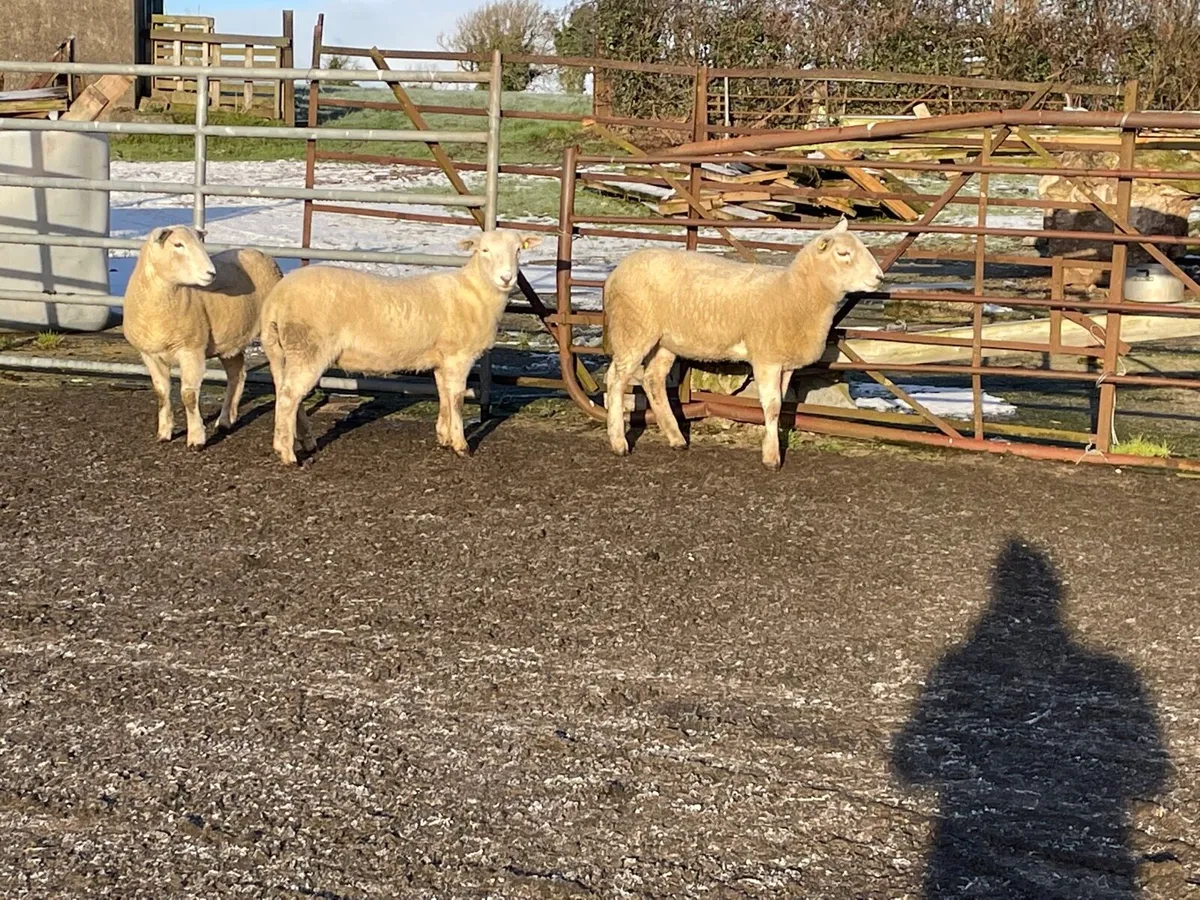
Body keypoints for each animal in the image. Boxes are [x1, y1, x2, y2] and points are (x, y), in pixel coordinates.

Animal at [122, 225, 283, 449]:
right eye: (178, 244)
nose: (211, 273)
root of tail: (262, 253)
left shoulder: (192, 350)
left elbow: (188, 395)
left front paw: (196, 439)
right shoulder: (149, 354)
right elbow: (162, 392)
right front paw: (164, 433)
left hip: (272, 333)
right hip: (230, 339)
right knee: (237, 375)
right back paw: (225, 421)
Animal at [260, 229, 542, 466]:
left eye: (519, 250)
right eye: (484, 250)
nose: (507, 278)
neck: (474, 293)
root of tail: (276, 298)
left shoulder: (442, 359)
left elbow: (443, 395)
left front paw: (443, 437)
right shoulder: (458, 356)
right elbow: (457, 399)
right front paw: (461, 445)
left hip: (282, 350)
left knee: (285, 393)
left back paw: (304, 441)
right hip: (308, 347)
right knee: (289, 397)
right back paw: (287, 454)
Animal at [602, 217, 883, 469]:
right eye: (843, 253)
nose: (879, 277)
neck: (795, 293)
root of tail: (615, 274)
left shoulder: (785, 362)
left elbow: (781, 404)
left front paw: (771, 446)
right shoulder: (766, 359)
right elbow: (772, 406)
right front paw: (772, 458)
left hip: (665, 340)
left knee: (653, 379)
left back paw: (676, 439)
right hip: (633, 329)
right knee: (616, 378)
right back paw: (618, 443)